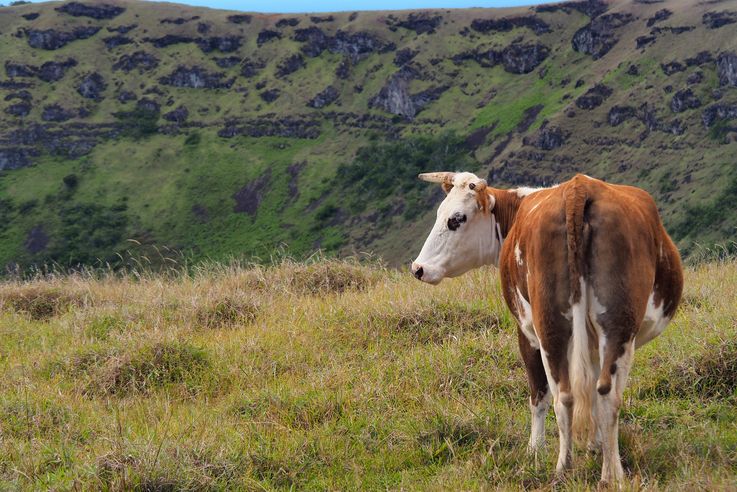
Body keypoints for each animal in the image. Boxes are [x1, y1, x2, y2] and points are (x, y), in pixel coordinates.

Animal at [412, 172, 680, 484]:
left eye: (457, 219)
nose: (418, 268)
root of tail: (579, 188)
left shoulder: (526, 333)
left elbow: (537, 395)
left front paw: (534, 451)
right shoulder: (590, 343)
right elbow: (589, 390)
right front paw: (595, 445)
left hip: (550, 327)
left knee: (562, 395)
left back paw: (563, 469)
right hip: (617, 327)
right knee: (605, 393)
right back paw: (610, 474)